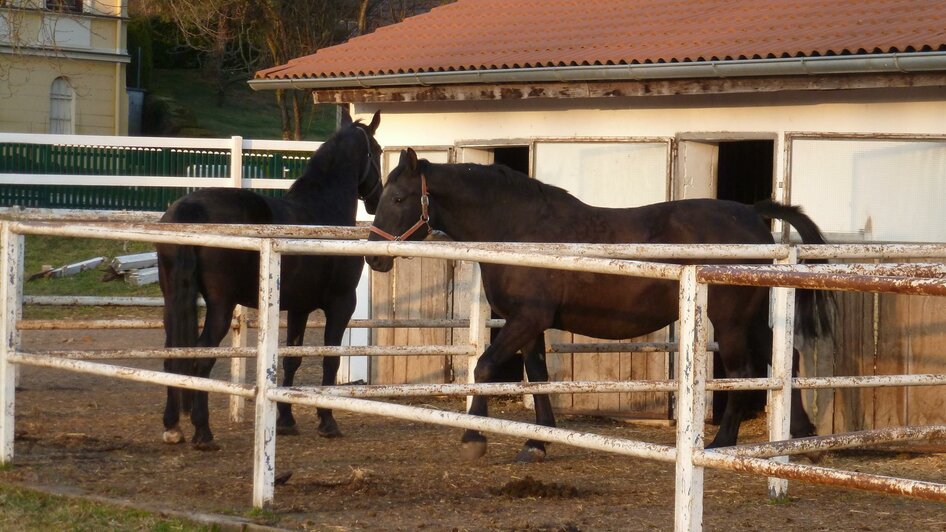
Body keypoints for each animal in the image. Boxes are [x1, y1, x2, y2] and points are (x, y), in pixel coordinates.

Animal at [157, 111, 382, 448]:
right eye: (378, 152)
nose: (378, 198)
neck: (323, 211)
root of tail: (188, 208)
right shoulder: (341, 304)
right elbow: (329, 359)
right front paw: (327, 421)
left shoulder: (300, 308)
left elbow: (291, 360)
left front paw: (286, 419)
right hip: (221, 307)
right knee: (201, 359)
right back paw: (203, 432)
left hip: (173, 300)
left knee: (173, 356)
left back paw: (173, 427)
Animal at [366, 148, 828, 464]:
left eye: (398, 198)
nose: (374, 257)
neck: (521, 229)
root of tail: (751, 214)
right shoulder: (529, 324)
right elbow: (538, 378)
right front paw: (537, 443)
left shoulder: (526, 319)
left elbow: (484, 366)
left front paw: (473, 438)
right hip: (750, 321)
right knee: (787, 361)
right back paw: (805, 440)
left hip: (729, 322)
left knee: (742, 373)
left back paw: (720, 444)